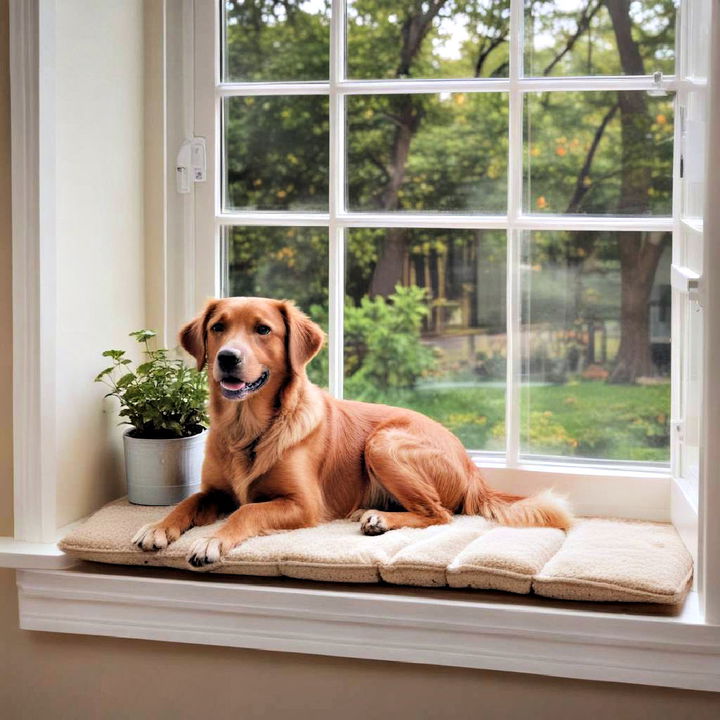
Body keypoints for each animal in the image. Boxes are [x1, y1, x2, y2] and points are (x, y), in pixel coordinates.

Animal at [132, 296, 572, 564]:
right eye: (218, 327)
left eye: (263, 329)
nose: (227, 358)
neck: (248, 431)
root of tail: (471, 466)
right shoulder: (213, 491)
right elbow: (186, 503)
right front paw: (157, 528)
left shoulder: (303, 503)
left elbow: (247, 511)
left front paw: (212, 540)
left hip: (384, 442)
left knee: (440, 513)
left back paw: (379, 518)